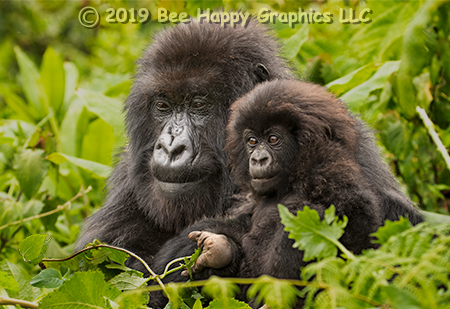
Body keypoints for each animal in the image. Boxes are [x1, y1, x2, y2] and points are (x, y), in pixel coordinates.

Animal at [151, 79, 422, 304]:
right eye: (252, 141)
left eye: (273, 139)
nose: (258, 159)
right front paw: (219, 250)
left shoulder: (325, 162)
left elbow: (355, 215)